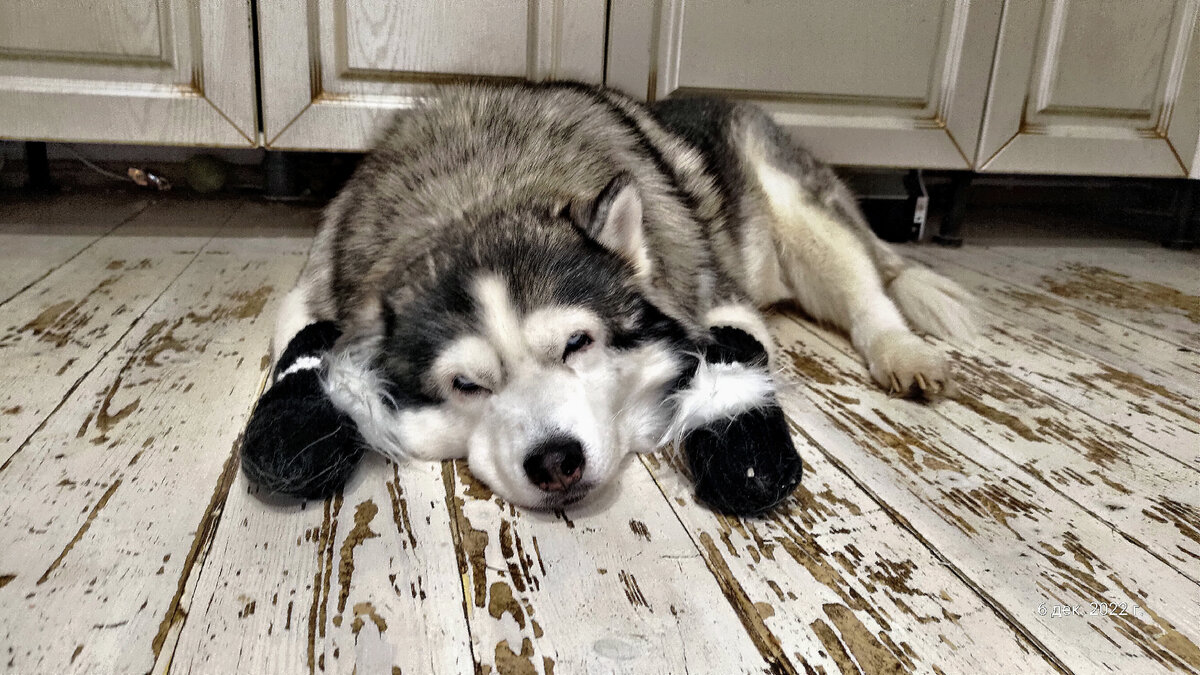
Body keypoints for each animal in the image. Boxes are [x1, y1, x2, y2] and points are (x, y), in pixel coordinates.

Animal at [272, 79, 974, 509]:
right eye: (465, 385)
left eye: (578, 344)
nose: (557, 462)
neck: (481, 196)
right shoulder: (311, 293)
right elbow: (301, 345)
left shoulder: (720, 303)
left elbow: (731, 356)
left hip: (803, 217)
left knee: (872, 289)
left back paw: (903, 349)